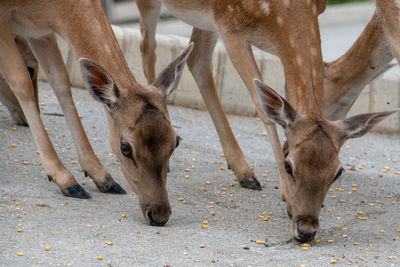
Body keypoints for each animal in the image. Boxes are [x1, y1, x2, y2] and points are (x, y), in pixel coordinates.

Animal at [0, 0, 194, 227]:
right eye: (125, 148)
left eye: (176, 142)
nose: (160, 215)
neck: (53, 8)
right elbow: (21, 82)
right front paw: (63, 178)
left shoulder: (40, 30)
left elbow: (61, 81)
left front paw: (102, 178)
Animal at [138, 0, 400, 243]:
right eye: (288, 166)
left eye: (337, 172)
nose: (306, 230)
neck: (281, 12)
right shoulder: (230, 28)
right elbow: (263, 108)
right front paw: (287, 197)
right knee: (148, 46)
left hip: (204, 20)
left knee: (196, 59)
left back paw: (243, 171)